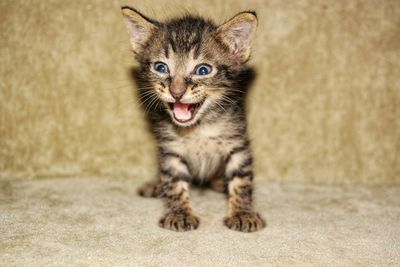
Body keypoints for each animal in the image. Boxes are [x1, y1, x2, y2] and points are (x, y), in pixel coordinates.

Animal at [122, 5, 266, 232]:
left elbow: (241, 180)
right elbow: (174, 183)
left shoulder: (237, 143)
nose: (177, 92)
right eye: (161, 67)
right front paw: (180, 212)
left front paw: (243, 212)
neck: (198, 127)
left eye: (203, 70)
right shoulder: (170, 149)